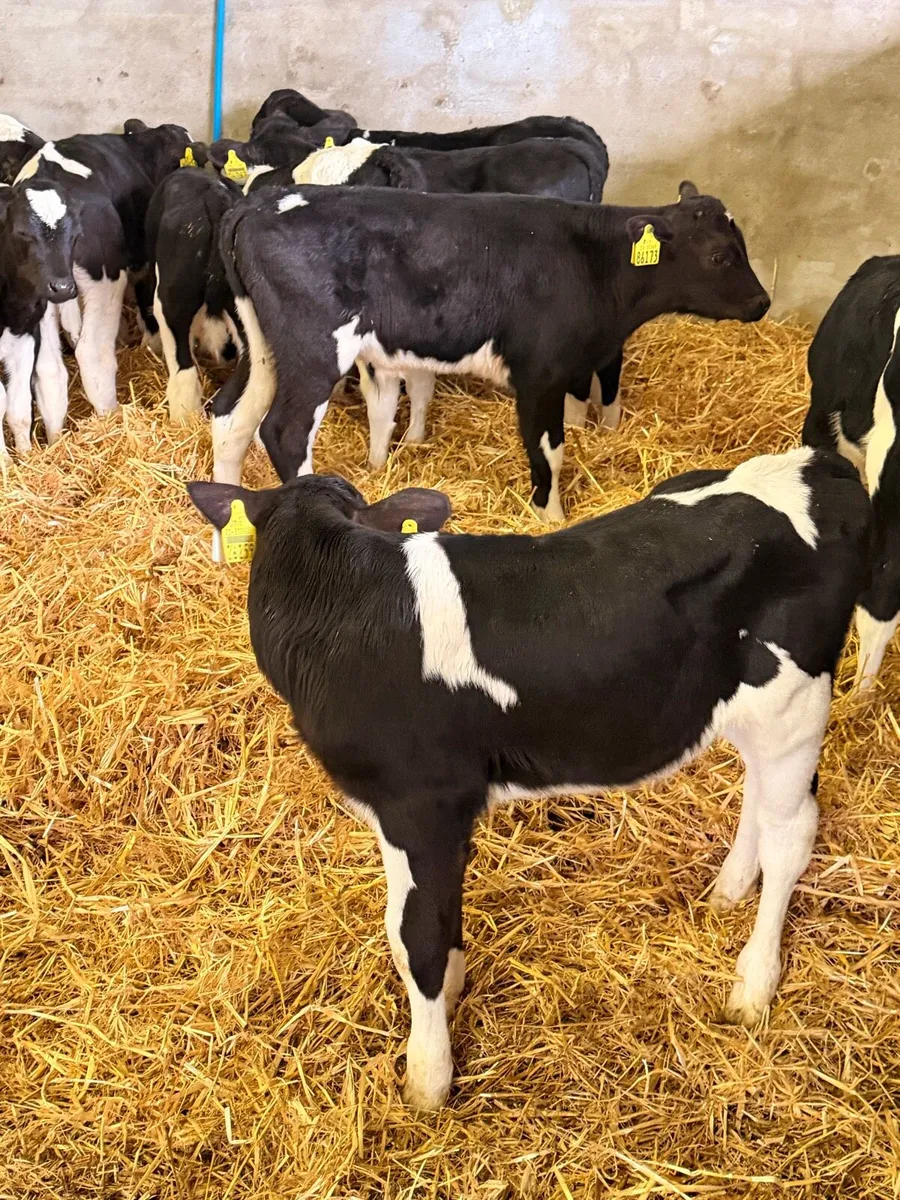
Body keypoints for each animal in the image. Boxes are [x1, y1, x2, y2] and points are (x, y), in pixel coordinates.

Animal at [186, 446, 870, 1109]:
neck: (334, 601)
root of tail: (815, 464)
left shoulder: (419, 801)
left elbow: (416, 934)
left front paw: (428, 1076)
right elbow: (443, 912)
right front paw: (453, 991)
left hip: (795, 703)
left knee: (791, 836)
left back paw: (753, 984)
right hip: (746, 708)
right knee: (761, 800)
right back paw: (728, 890)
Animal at [210, 181, 769, 518]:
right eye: (719, 256)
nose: (762, 301)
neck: (592, 262)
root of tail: (261, 202)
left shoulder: (571, 368)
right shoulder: (540, 374)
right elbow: (550, 450)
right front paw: (550, 515)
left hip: (263, 349)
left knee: (230, 416)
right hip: (314, 351)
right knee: (284, 432)